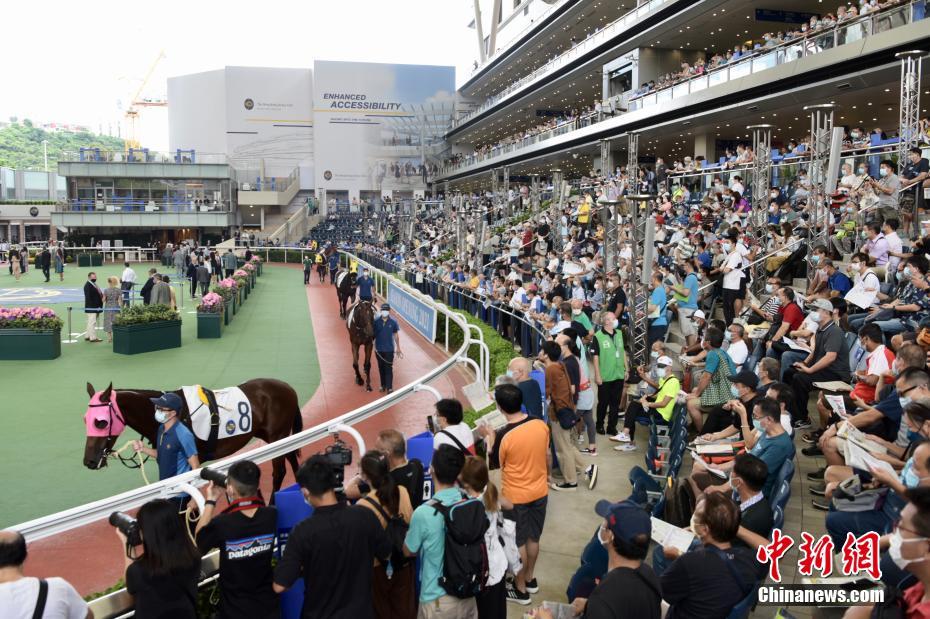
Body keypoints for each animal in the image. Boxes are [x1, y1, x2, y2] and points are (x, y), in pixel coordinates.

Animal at [82, 378, 300, 494]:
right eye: (86, 419)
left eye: (100, 422)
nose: (89, 461)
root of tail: (289, 388)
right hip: (279, 437)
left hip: (277, 435)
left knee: (279, 471)